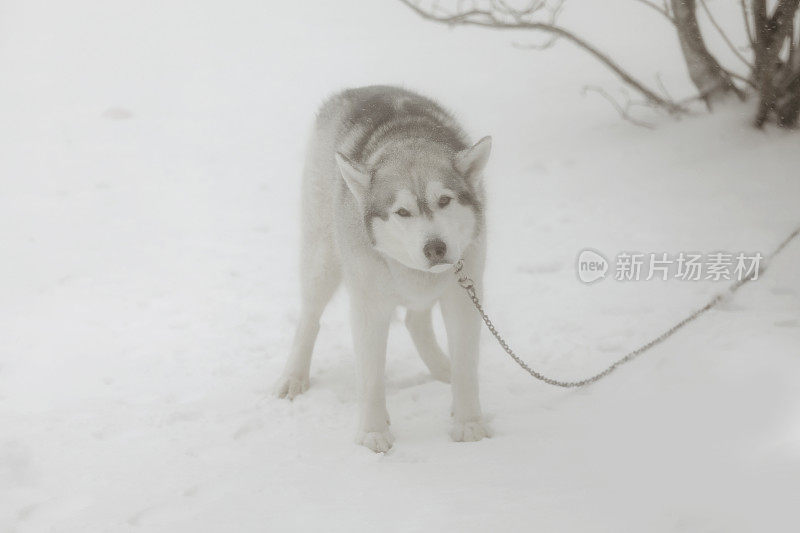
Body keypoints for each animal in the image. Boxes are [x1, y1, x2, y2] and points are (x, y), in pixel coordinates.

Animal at [274, 86, 488, 448]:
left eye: (444, 200)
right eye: (402, 211)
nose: (436, 248)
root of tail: (355, 90)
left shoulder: (462, 299)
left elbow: (466, 368)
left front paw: (469, 423)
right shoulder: (369, 308)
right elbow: (371, 378)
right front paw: (373, 432)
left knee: (416, 321)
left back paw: (441, 368)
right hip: (323, 261)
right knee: (309, 319)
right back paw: (294, 376)